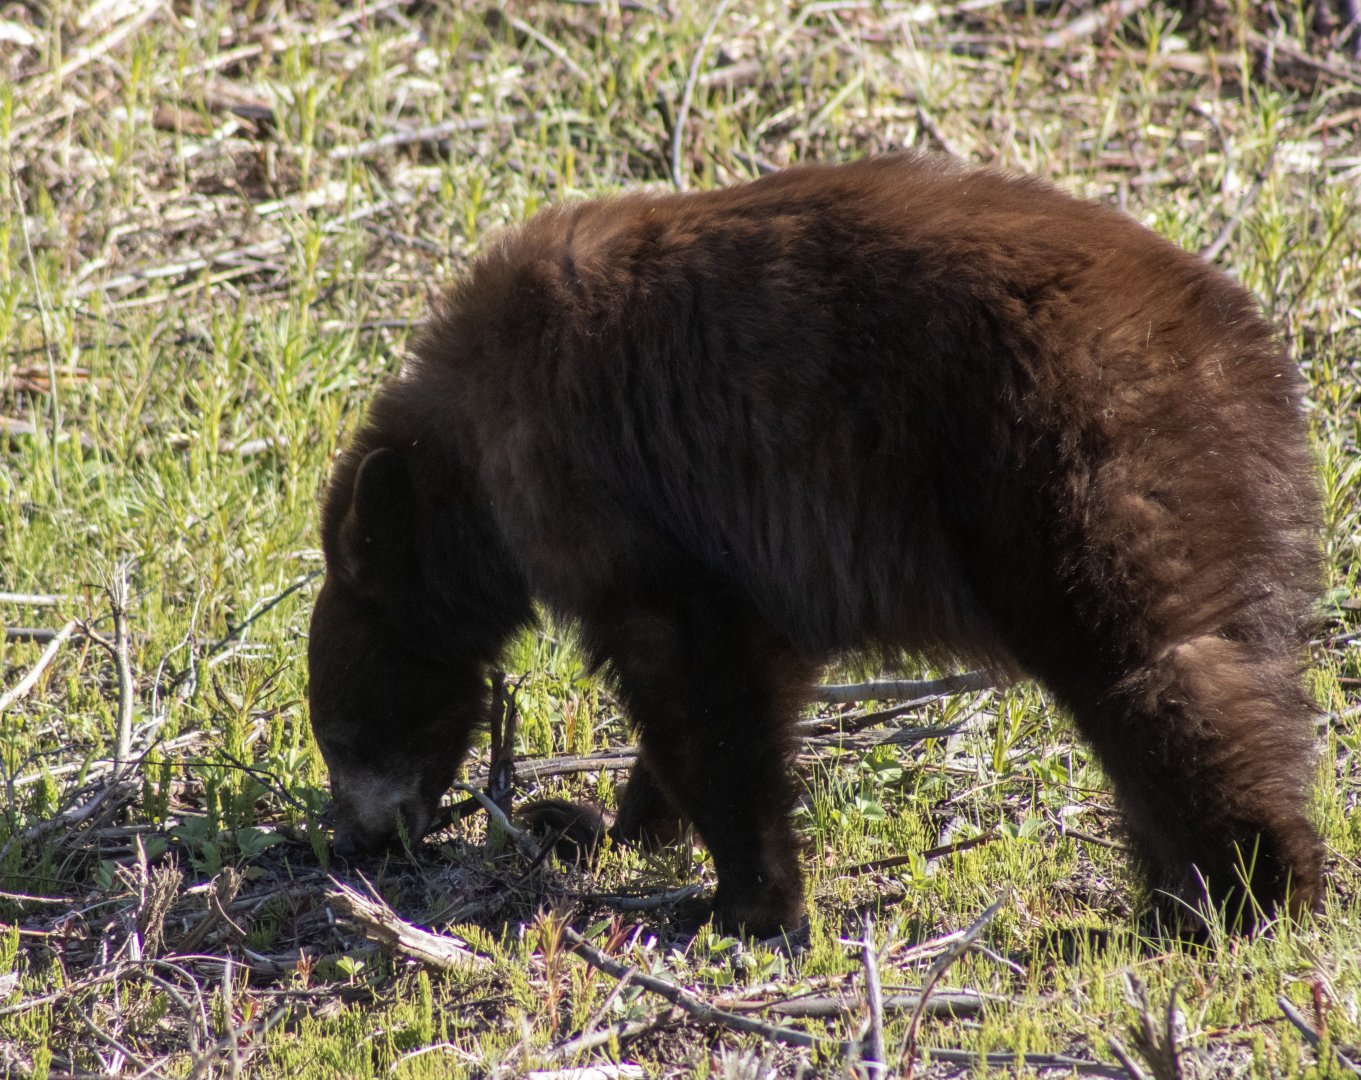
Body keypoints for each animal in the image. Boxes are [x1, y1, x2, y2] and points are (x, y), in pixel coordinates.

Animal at [308, 153, 1323, 938]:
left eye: (339, 729)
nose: (355, 841)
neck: (467, 462)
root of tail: (1246, 354)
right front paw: (602, 824)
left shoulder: (612, 499)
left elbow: (703, 692)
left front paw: (745, 903)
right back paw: (1185, 899)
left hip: (1073, 461)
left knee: (1152, 669)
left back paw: (1245, 897)